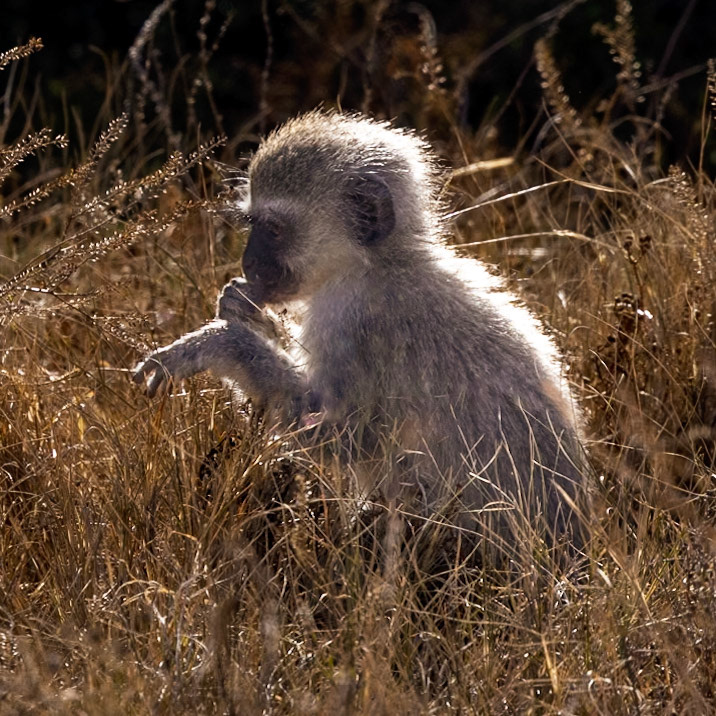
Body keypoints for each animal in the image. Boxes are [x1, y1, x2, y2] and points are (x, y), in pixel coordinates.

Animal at [133, 111, 587, 563]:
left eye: (275, 230)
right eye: (253, 225)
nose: (249, 262)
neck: (374, 264)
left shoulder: (352, 323)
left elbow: (341, 435)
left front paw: (218, 344)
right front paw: (244, 309)